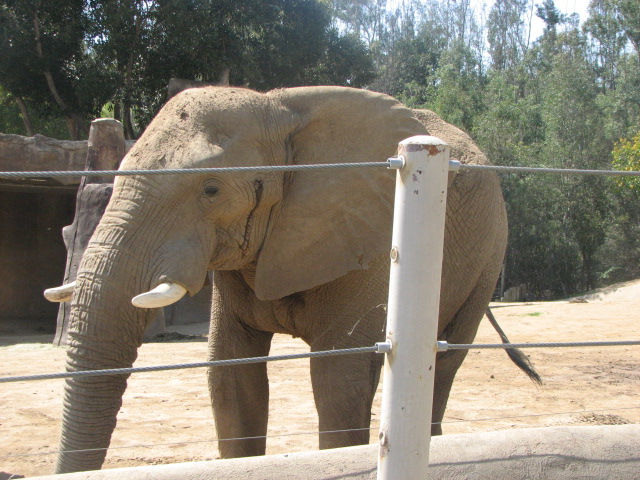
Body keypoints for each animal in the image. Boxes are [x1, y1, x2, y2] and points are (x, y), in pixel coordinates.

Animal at [49, 85, 511, 473]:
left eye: (211, 190)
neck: (276, 108)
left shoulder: (369, 234)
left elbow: (337, 378)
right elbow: (231, 375)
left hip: (488, 253)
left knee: (445, 363)